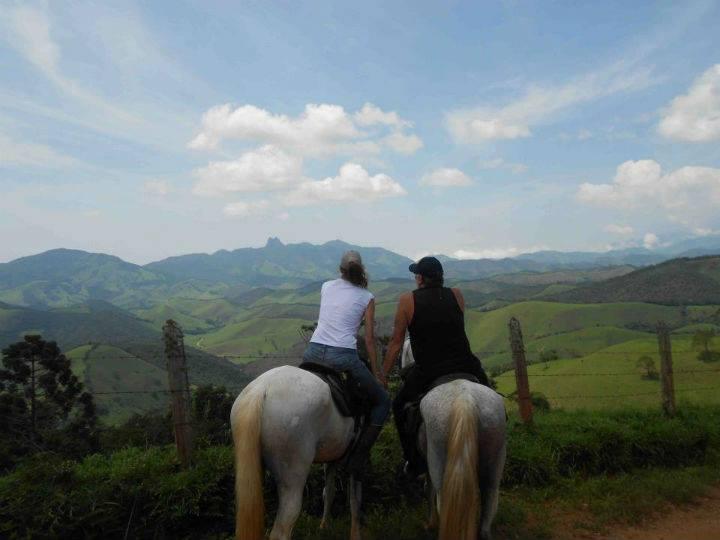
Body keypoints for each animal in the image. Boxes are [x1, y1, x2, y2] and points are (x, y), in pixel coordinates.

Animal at [232, 364, 360, 540]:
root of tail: (262, 388)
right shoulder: (358, 457)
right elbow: (355, 499)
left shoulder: (332, 459)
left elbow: (329, 491)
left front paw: (324, 526)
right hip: (292, 476)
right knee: (283, 528)